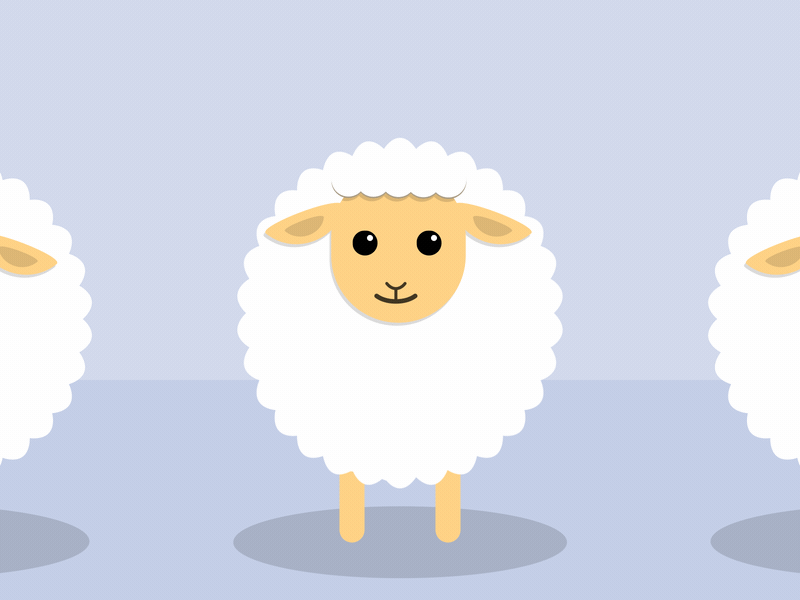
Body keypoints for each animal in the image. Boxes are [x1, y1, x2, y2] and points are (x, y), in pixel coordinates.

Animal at [238, 139, 562, 542]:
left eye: (431, 241)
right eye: (363, 242)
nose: (396, 284)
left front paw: (448, 535)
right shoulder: (347, 439)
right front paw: (351, 535)